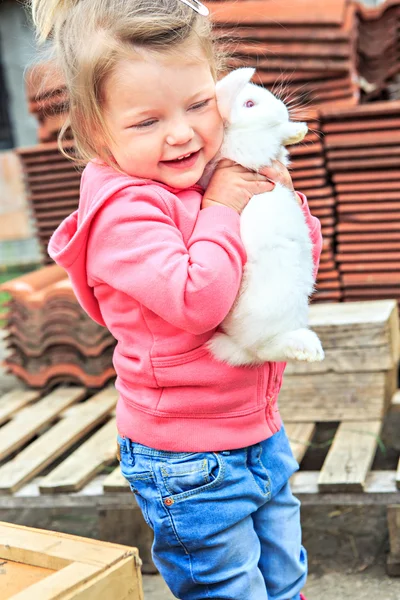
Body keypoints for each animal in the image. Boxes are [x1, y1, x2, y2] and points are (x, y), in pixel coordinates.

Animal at [203, 67, 324, 364]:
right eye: (249, 104)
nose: (282, 109)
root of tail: (240, 344)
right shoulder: (249, 148)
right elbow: (273, 136)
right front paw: (297, 129)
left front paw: (296, 130)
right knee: (267, 348)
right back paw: (308, 349)